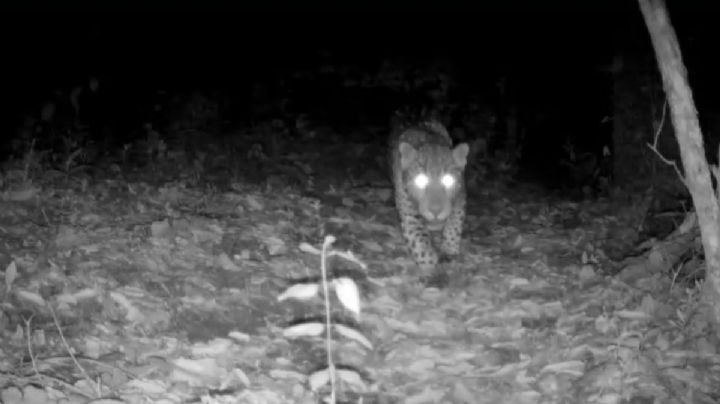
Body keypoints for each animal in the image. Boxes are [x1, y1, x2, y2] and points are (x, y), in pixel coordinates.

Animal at [389, 117, 469, 275]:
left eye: (448, 179)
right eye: (420, 180)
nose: (435, 210)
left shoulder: (460, 198)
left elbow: (454, 225)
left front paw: (449, 252)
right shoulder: (409, 211)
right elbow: (419, 238)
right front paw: (429, 267)